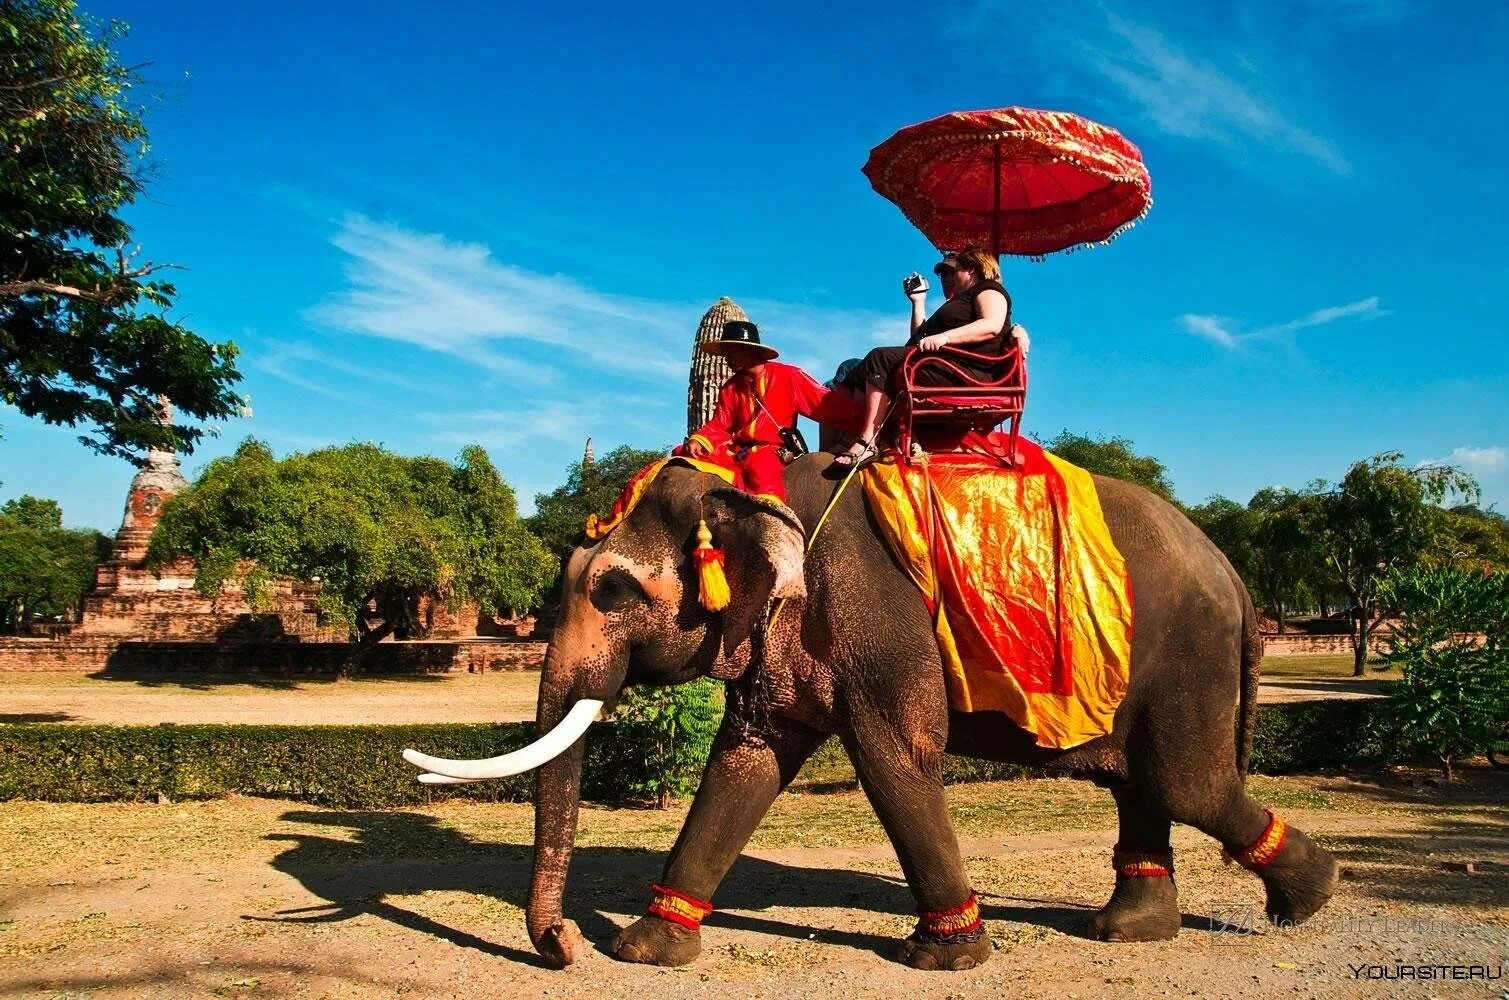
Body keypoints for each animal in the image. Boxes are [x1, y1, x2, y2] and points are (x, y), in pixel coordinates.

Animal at [401, 452, 1333, 971]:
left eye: (615, 591)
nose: (561, 949)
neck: (756, 490)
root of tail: (1235, 573)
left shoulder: (877, 615)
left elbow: (893, 757)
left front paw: (941, 957)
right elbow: (746, 759)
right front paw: (646, 951)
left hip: (1186, 658)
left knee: (1184, 783)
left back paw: (1307, 901)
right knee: (1140, 783)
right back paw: (1126, 932)